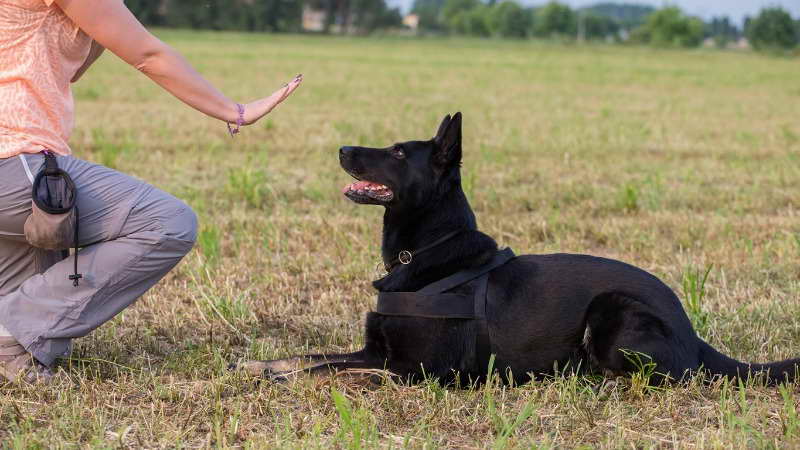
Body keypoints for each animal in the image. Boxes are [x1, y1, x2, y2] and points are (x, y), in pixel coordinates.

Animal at [245, 112, 800, 386]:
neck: (424, 255)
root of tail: (690, 330)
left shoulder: (414, 370)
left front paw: (285, 382)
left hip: (612, 313)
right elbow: (314, 356)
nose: (341, 148)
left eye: (399, 153)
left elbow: (330, 372)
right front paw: (261, 367)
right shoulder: (374, 350)